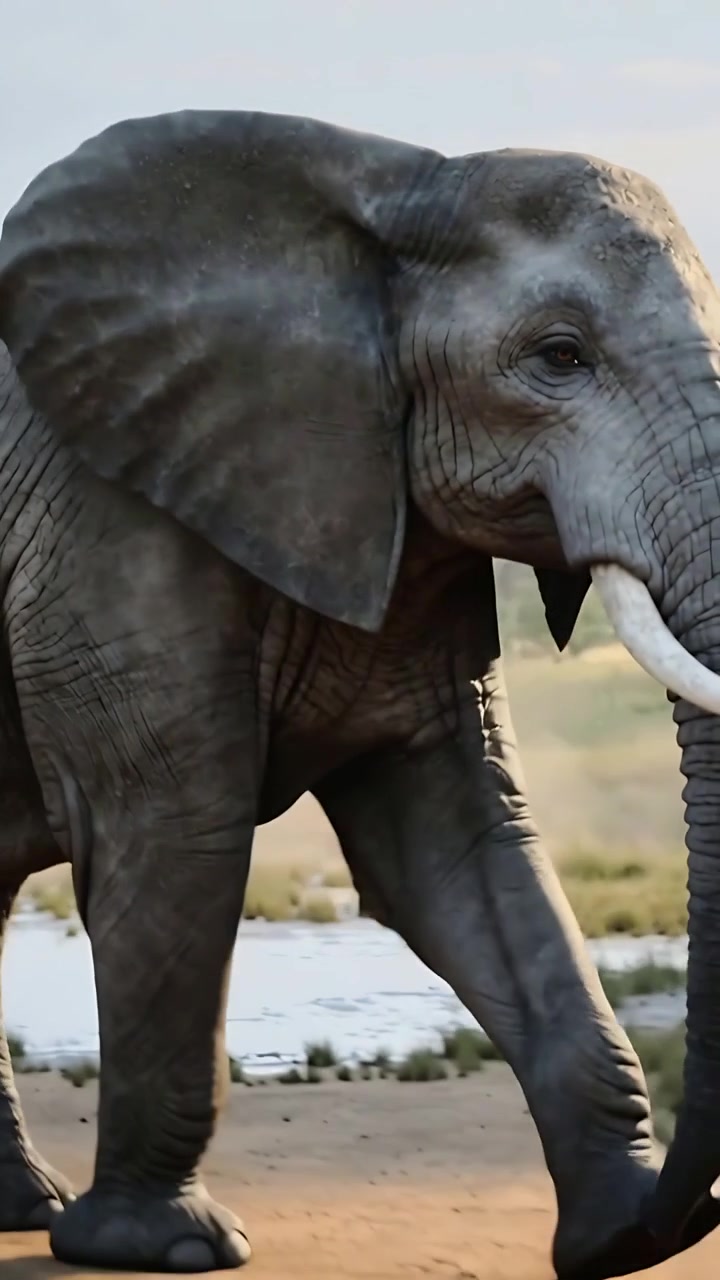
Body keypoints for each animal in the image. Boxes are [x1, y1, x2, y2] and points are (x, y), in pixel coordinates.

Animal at [0, 106, 719, 1279]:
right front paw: (160, 1244)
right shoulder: (107, 525)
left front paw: (616, 1234)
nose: (675, 1209)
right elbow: (178, 838)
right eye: (559, 356)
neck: (399, 190)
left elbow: (463, 844)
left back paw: (24, 1203)